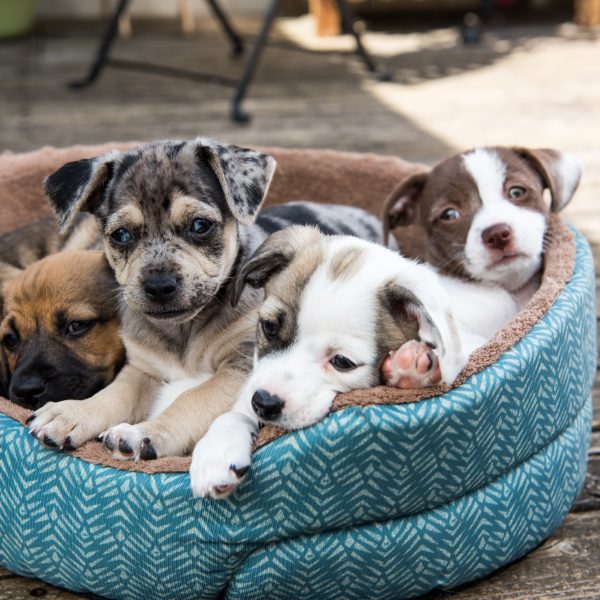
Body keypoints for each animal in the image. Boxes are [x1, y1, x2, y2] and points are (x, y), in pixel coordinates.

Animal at [27, 138, 384, 462]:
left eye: (200, 226)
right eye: (121, 235)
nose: (159, 286)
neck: (183, 331)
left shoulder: (239, 368)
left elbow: (191, 399)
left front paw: (146, 433)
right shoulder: (141, 368)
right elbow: (115, 395)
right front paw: (71, 413)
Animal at [192, 225, 516, 496]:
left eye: (342, 362)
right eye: (269, 327)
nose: (264, 403)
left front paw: (411, 370)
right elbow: (233, 413)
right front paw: (216, 449)